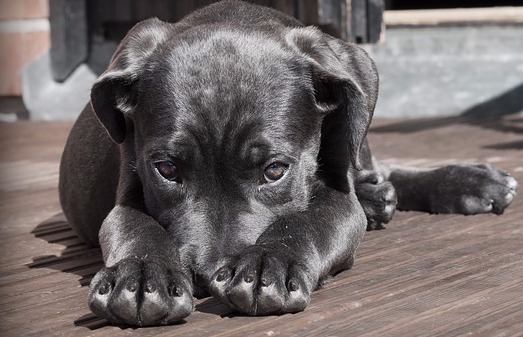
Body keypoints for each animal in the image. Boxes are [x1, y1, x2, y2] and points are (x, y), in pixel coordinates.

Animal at [59, 0, 516, 326]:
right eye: (167, 170)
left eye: (275, 170)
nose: (206, 276)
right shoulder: (128, 188)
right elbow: (134, 225)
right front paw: (140, 275)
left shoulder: (338, 198)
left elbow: (307, 220)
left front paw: (267, 263)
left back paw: (467, 182)